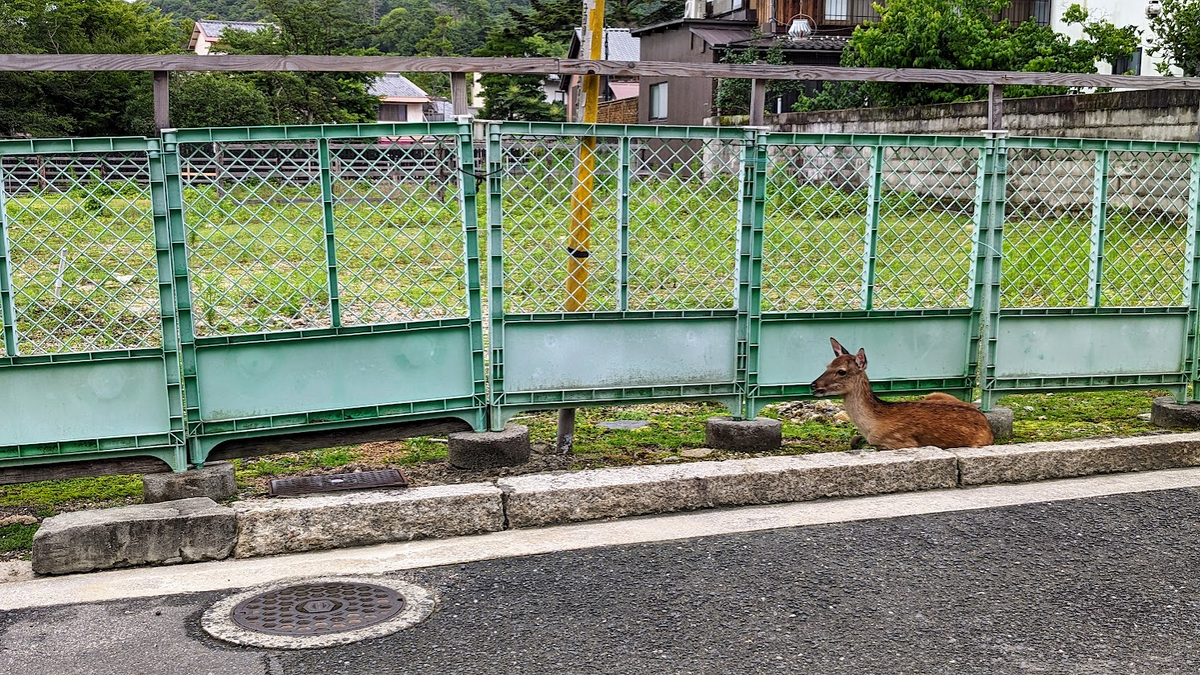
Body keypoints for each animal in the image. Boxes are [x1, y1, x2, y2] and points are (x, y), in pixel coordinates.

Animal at [810, 337, 994, 450]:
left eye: (841, 371)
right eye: (828, 366)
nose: (813, 385)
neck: (871, 426)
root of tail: (989, 429)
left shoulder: (903, 442)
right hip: (935, 393)